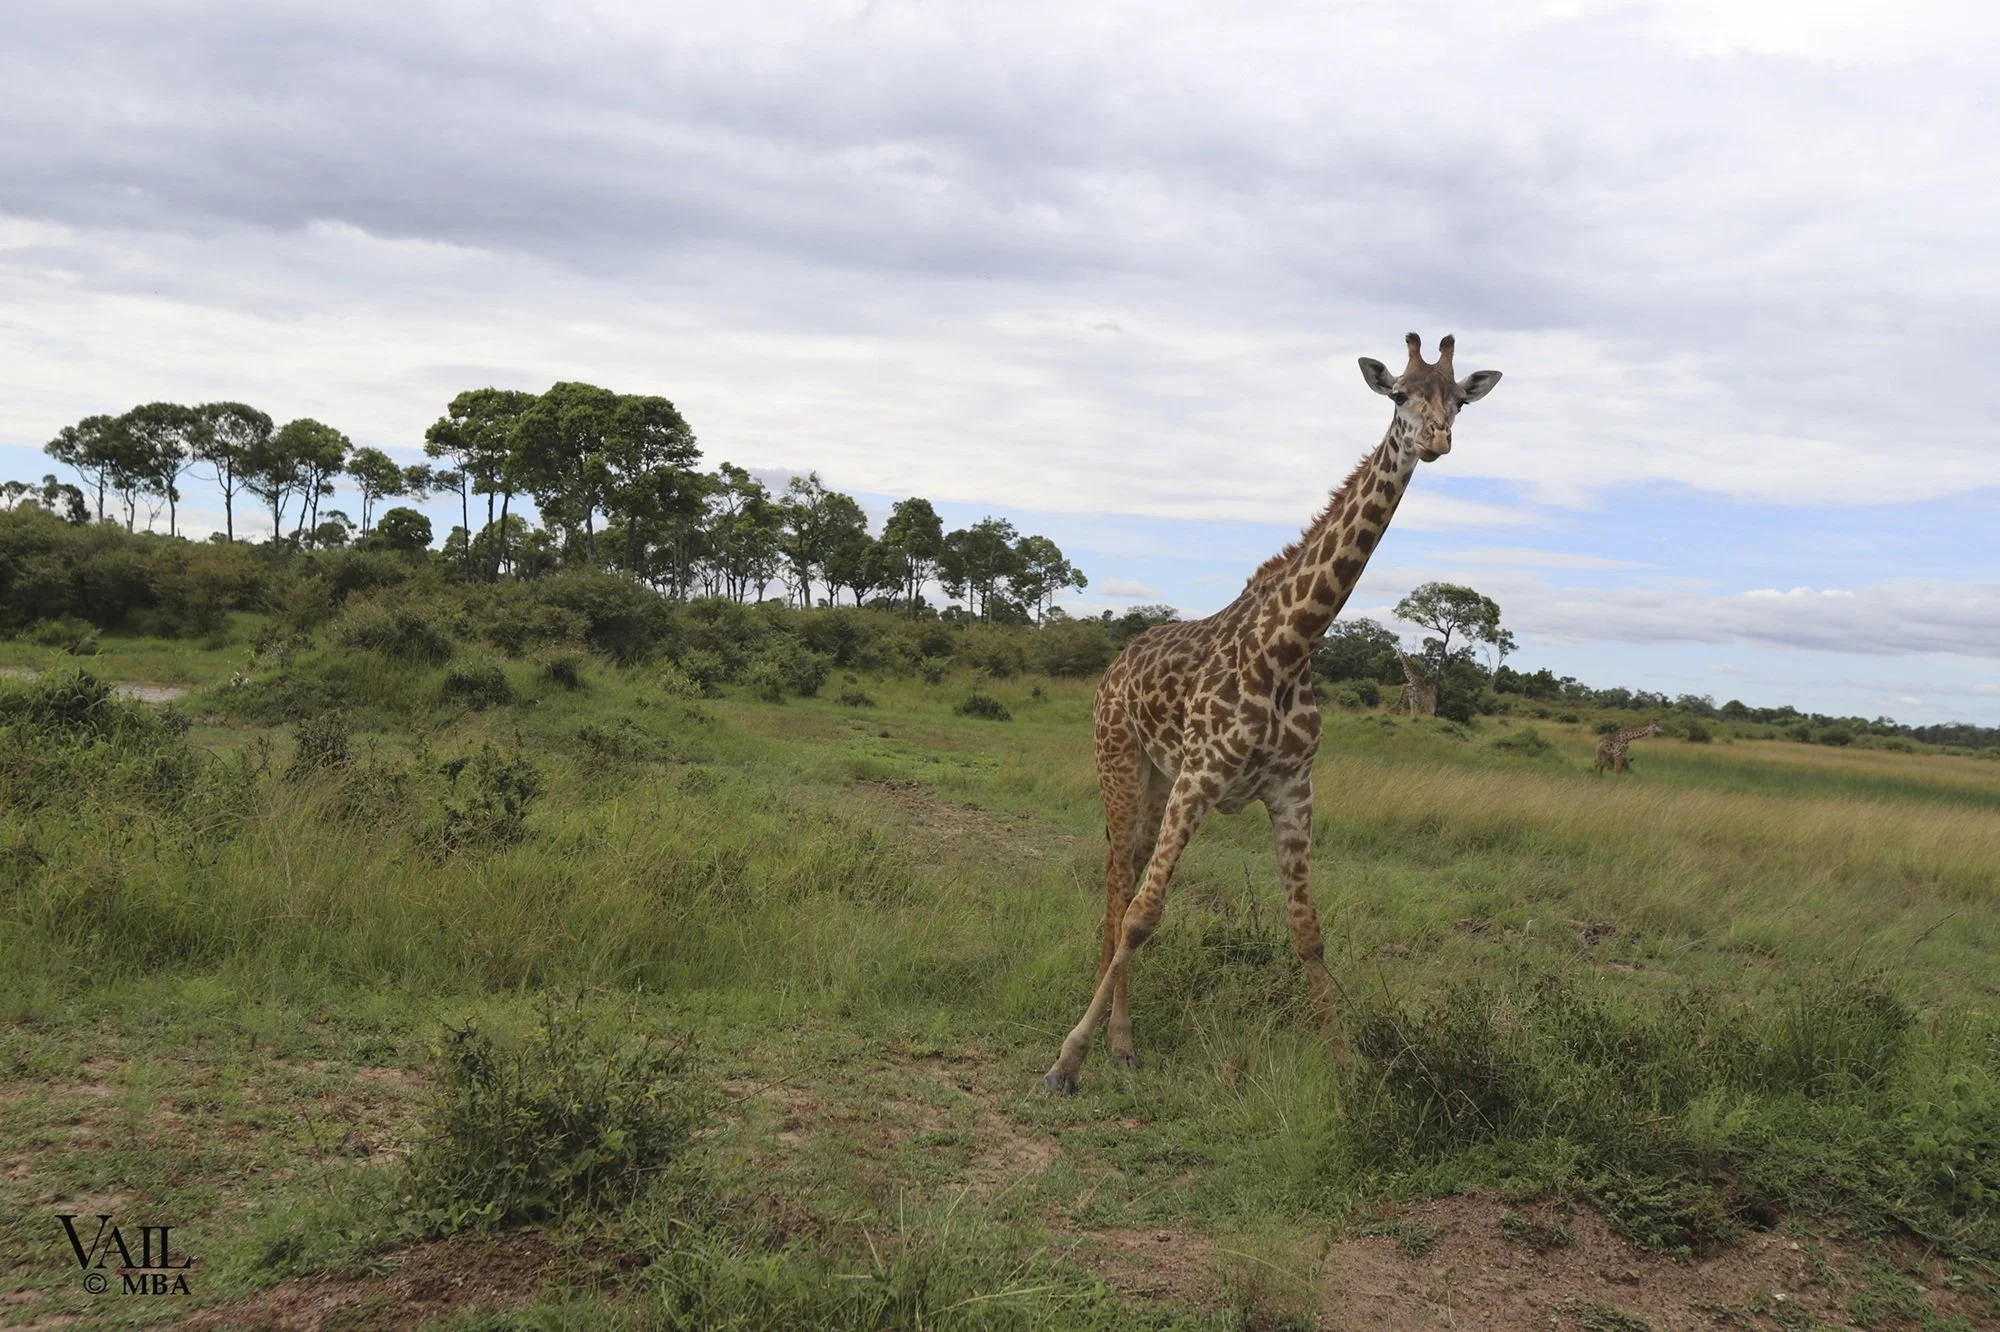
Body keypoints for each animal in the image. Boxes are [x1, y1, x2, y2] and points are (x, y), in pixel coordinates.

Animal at [1043, 333, 1503, 1094]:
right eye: (1399, 395)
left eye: (1459, 401)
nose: (1436, 440)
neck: (1291, 645)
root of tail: (1115, 664)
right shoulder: (1202, 778)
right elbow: (1144, 915)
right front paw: (1067, 1059)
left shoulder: (1293, 790)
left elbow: (1307, 932)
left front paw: (1345, 1062)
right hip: (1122, 761)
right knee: (1118, 882)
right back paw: (1117, 1036)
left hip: (1158, 779)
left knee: (1126, 872)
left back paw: (1119, 1034)